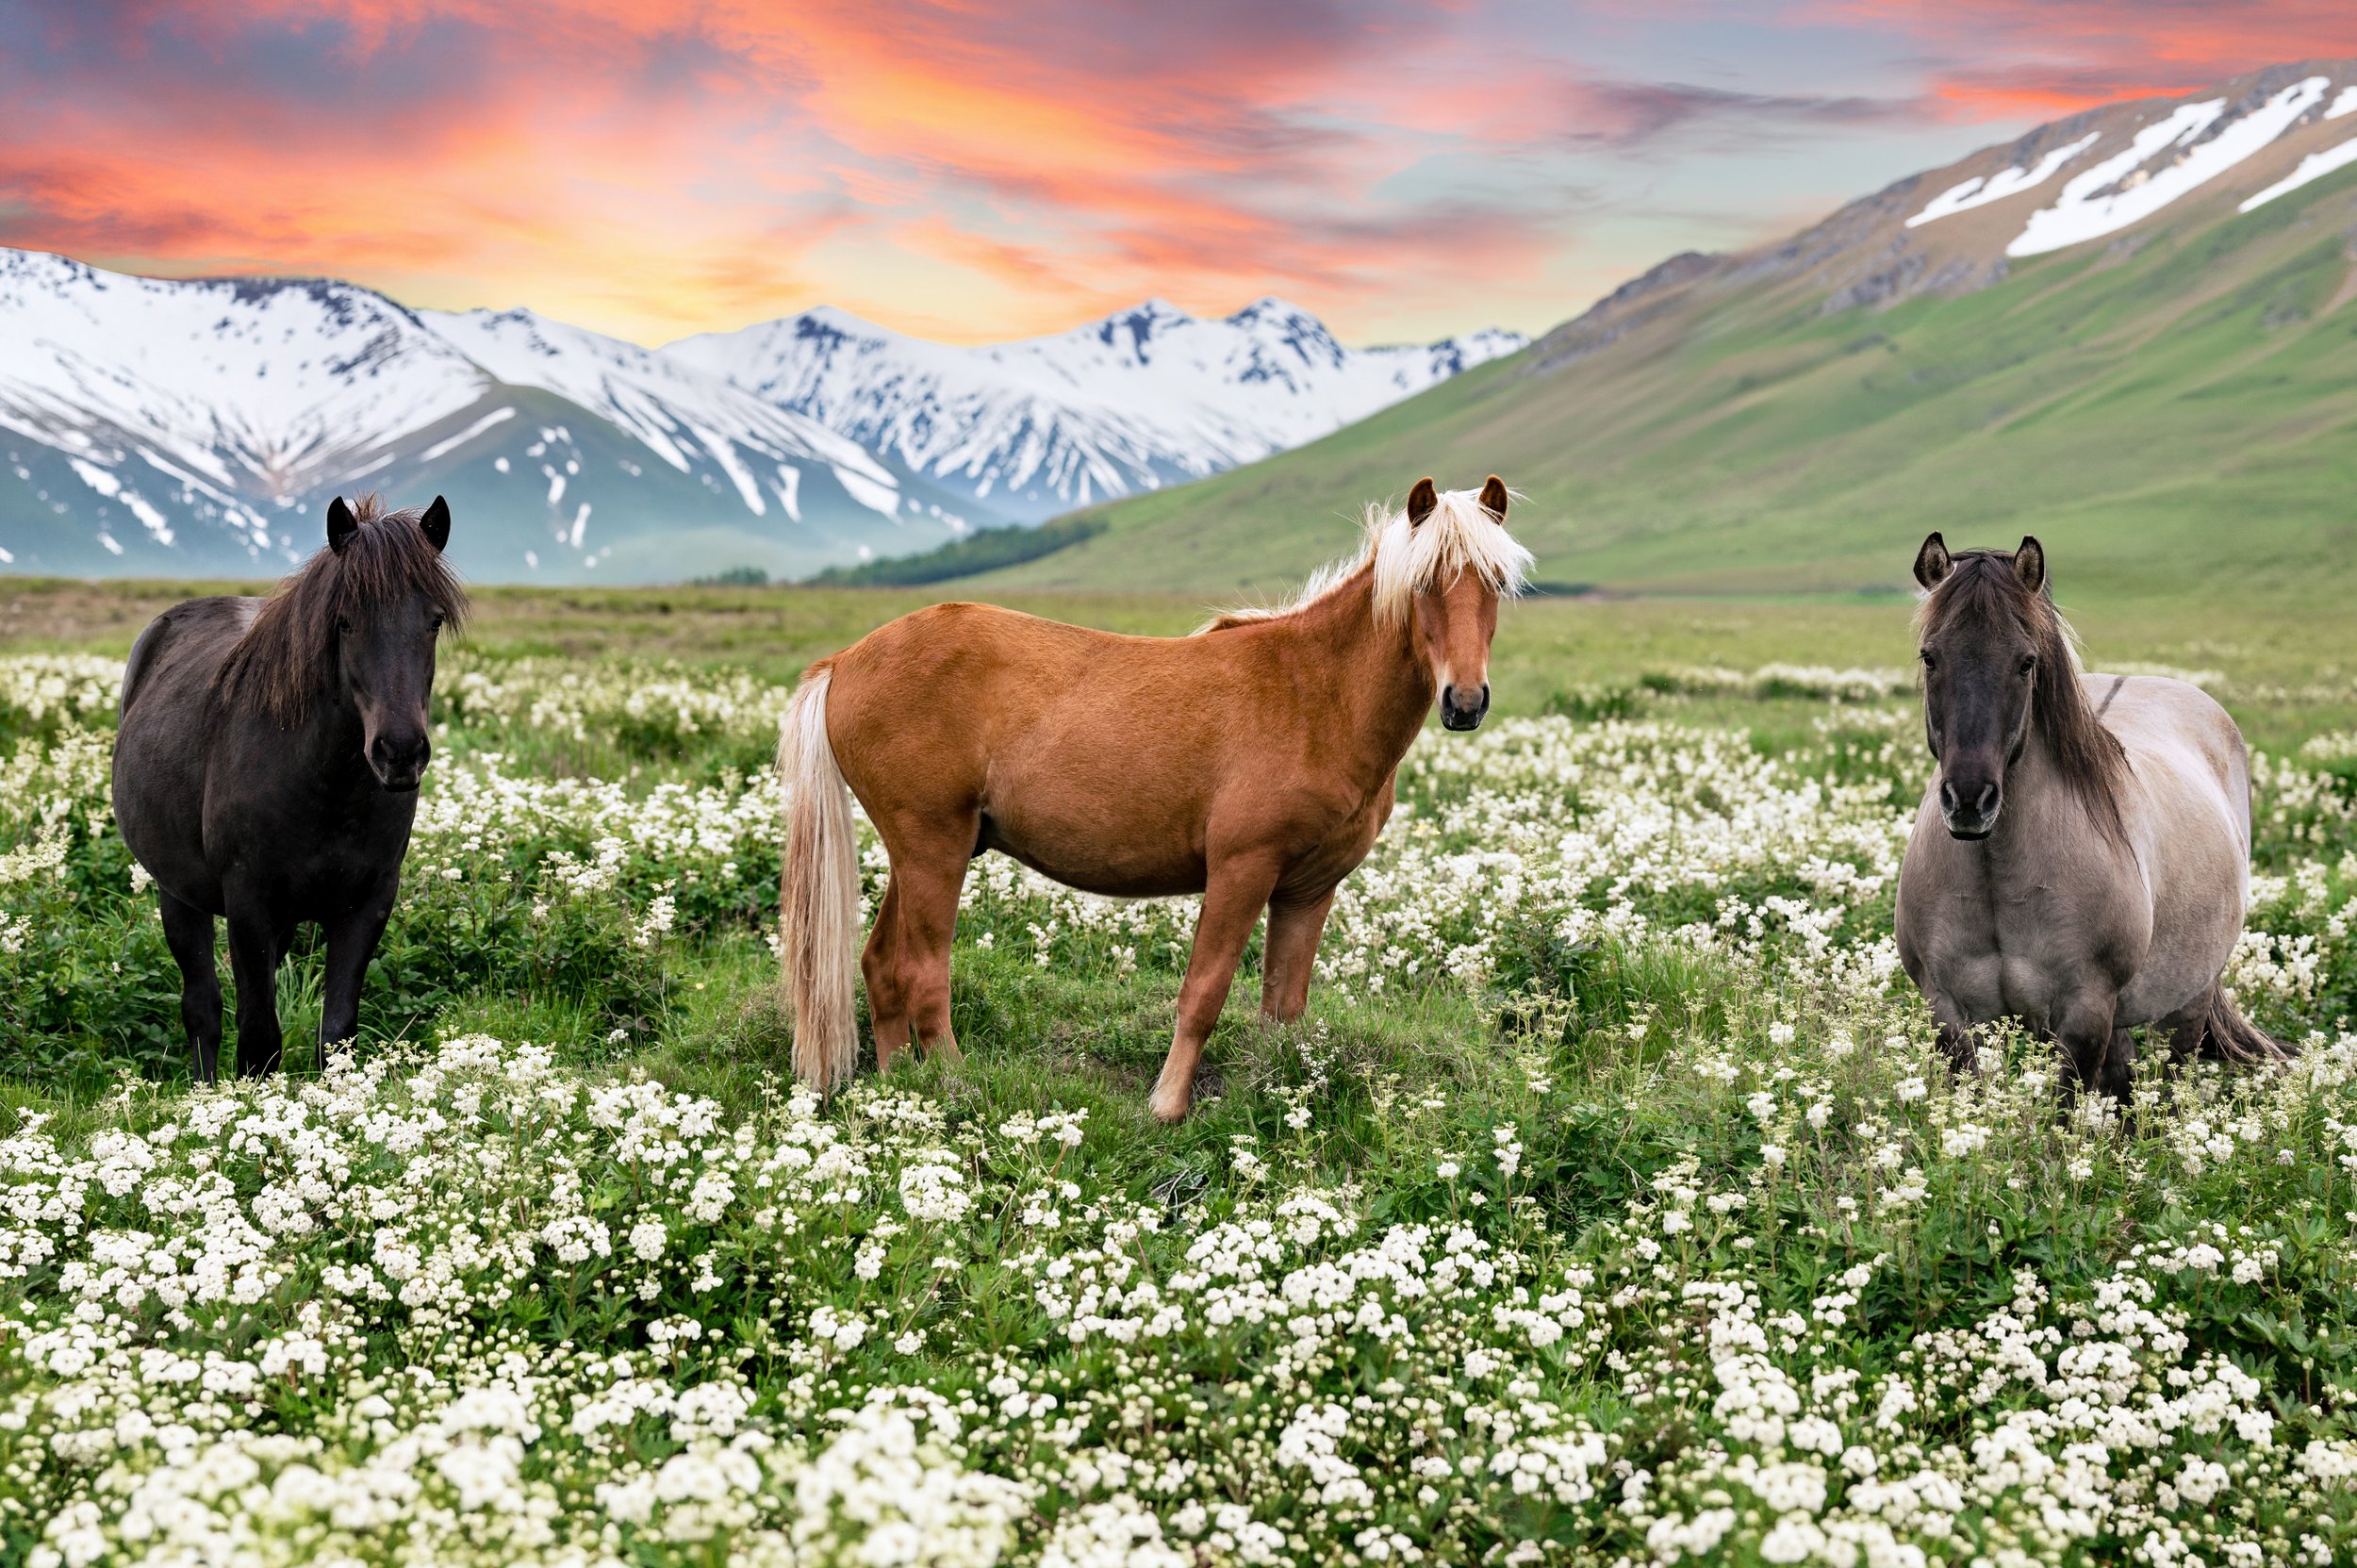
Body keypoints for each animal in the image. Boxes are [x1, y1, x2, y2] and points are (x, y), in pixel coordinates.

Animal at [112, 494, 465, 1082]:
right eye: (344, 622)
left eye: (434, 621)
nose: (399, 753)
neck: (328, 790)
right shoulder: (249, 904)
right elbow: (258, 1038)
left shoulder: (367, 905)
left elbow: (337, 1033)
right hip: (177, 893)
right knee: (202, 1006)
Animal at [777, 476, 1531, 1120]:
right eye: (1426, 581)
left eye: (1496, 582)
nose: (1465, 702)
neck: (1316, 695)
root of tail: (846, 660)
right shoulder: (1241, 870)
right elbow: (1204, 991)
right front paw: (1167, 1105)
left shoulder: (1307, 890)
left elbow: (1282, 1007)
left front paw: (1275, 1098)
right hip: (934, 848)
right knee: (921, 970)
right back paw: (955, 1087)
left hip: (921, 852)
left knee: (879, 964)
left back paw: (898, 1087)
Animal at [1893, 532, 2289, 1100]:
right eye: (1930, 657)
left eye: (2026, 663)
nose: (1969, 799)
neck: (1996, 872)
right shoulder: (1947, 1010)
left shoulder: (2085, 1014)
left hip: (2185, 1002)